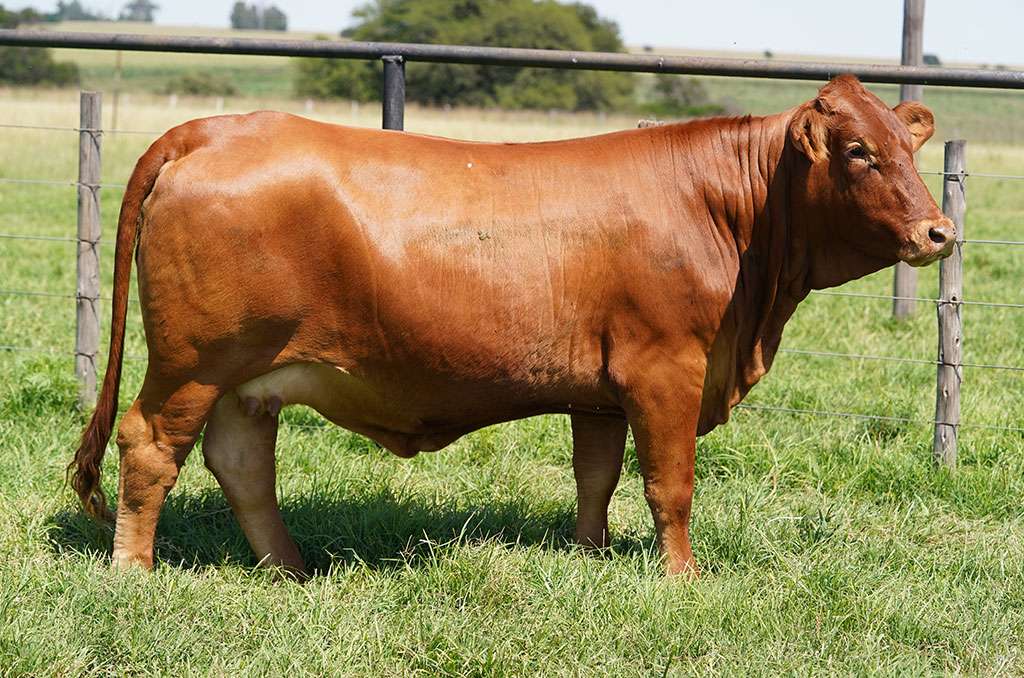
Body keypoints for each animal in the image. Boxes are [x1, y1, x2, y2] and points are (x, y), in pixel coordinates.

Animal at [69, 75, 953, 577]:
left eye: (907, 146)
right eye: (857, 151)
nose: (939, 232)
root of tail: (216, 126)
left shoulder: (601, 389)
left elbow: (596, 476)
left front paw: (591, 556)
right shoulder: (666, 368)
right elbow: (670, 485)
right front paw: (682, 578)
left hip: (247, 378)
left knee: (242, 461)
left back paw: (289, 569)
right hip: (193, 362)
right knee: (150, 445)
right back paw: (134, 572)